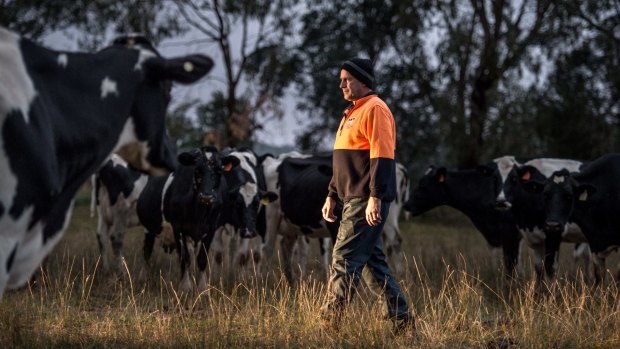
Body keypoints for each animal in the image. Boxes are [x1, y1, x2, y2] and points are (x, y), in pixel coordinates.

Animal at [0, 25, 213, 298]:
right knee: (115, 238)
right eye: (167, 89)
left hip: (105, 211)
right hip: (119, 210)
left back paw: (106, 270)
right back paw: (121, 273)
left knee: (101, 235)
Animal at [137, 146, 241, 290]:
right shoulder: (178, 227)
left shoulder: (211, 229)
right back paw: (143, 279)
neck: (199, 214)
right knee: (147, 250)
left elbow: (202, 259)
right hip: (149, 228)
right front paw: (185, 287)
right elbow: (184, 257)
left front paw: (202, 288)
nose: (206, 197)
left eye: (219, 171)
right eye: (197, 169)